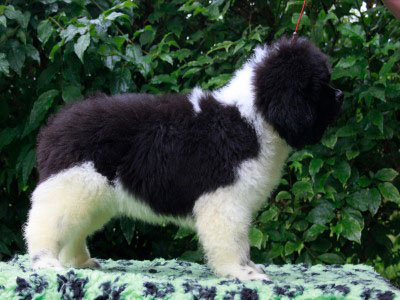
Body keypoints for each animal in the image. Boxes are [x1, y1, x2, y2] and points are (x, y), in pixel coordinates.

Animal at [24, 37, 344, 282]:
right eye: (320, 86)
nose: (341, 95)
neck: (252, 120)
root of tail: (55, 125)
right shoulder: (224, 200)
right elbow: (232, 240)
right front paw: (240, 272)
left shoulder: (237, 200)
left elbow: (241, 241)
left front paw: (249, 267)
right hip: (72, 186)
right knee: (44, 225)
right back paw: (45, 262)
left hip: (93, 194)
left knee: (74, 230)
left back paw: (79, 261)